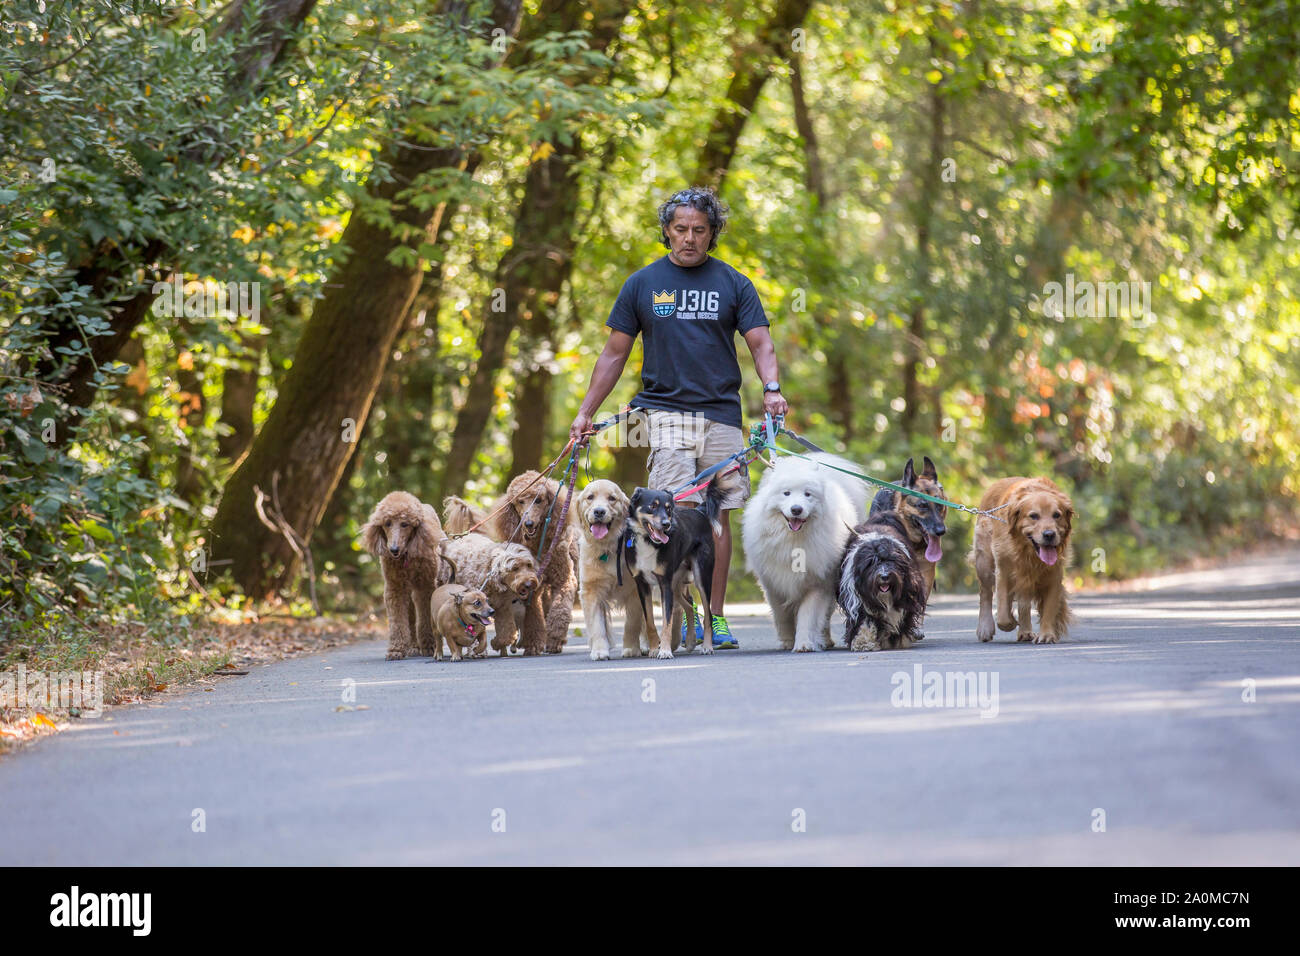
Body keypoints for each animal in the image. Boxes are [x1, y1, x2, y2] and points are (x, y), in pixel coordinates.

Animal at [743, 455, 873, 650]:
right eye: (786, 493)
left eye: (807, 494)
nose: (796, 509)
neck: (794, 539)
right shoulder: (774, 584)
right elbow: (782, 616)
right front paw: (788, 641)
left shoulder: (817, 584)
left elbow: (808, 617)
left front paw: (804, 644)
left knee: (825, 617)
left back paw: (825, 640)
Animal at [837, 512, 930, 655]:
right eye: (871, 563)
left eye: (891, 561)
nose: (884, 576)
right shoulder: (858, 599)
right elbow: (865, 620)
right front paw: (863, 642)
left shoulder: (907, 596)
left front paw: (898, 640)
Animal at [972, 476, 1071, 647]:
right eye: (1034, 516)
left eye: (1056, 515)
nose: (1049, 534)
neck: (1028, 553)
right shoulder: (1003, 570)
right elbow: (1003, 613)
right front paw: (1010, 622)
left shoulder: (1054, 575)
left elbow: (1049, 608)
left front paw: (1046, 635)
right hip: (984, 562)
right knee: (985, 593)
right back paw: (985, 627)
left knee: (1024, 603)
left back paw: (1025, 631)